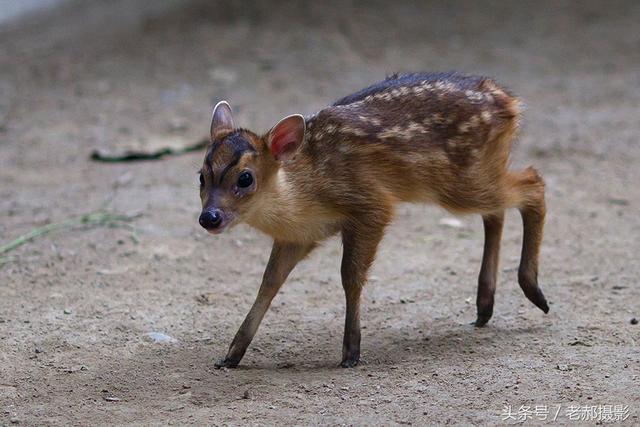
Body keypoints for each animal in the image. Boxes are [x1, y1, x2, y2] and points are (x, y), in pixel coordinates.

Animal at [198, 72, 548, 368]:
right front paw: (231, 355)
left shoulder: (371, 204)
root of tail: (508, 100)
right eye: (201, 175)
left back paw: (534, 292)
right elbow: (269, 282)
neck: (303, 194)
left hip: (461, 181)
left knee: (533, 183)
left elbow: (350, 276)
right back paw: (485, 306)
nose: (209, 218)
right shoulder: (299, 236)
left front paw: (351, 352)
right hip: (474, 176)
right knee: (499, 208)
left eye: (245, 178)